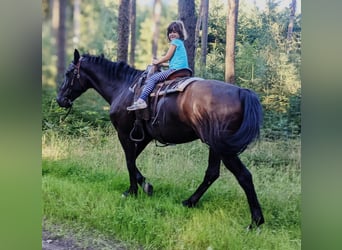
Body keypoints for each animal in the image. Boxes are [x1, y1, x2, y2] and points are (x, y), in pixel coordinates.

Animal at [56, 49, 264, 229]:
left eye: (68, 73)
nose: (60, 100)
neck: (123, 88)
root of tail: (242, 92)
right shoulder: (144, 136)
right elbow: (133, 161)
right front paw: (144, 186)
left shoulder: (124, 133)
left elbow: (129, 162)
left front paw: (134, 191)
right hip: (215, 146)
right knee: (212, 173)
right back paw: (190, 202)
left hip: (223, 148)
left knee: (244, 176)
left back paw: (256, 221)